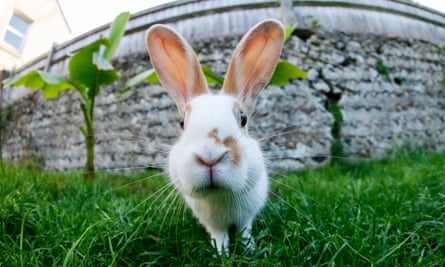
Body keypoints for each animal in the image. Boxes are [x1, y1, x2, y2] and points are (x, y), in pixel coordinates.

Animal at [146, 19, 284, 255]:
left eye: (243, 119)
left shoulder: (246, 216)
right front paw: (221, 254)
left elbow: (245, 231)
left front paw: (250, 249)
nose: (209, 157)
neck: (220, 196)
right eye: (182, 122)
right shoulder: (213, 223)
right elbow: (220, 236)